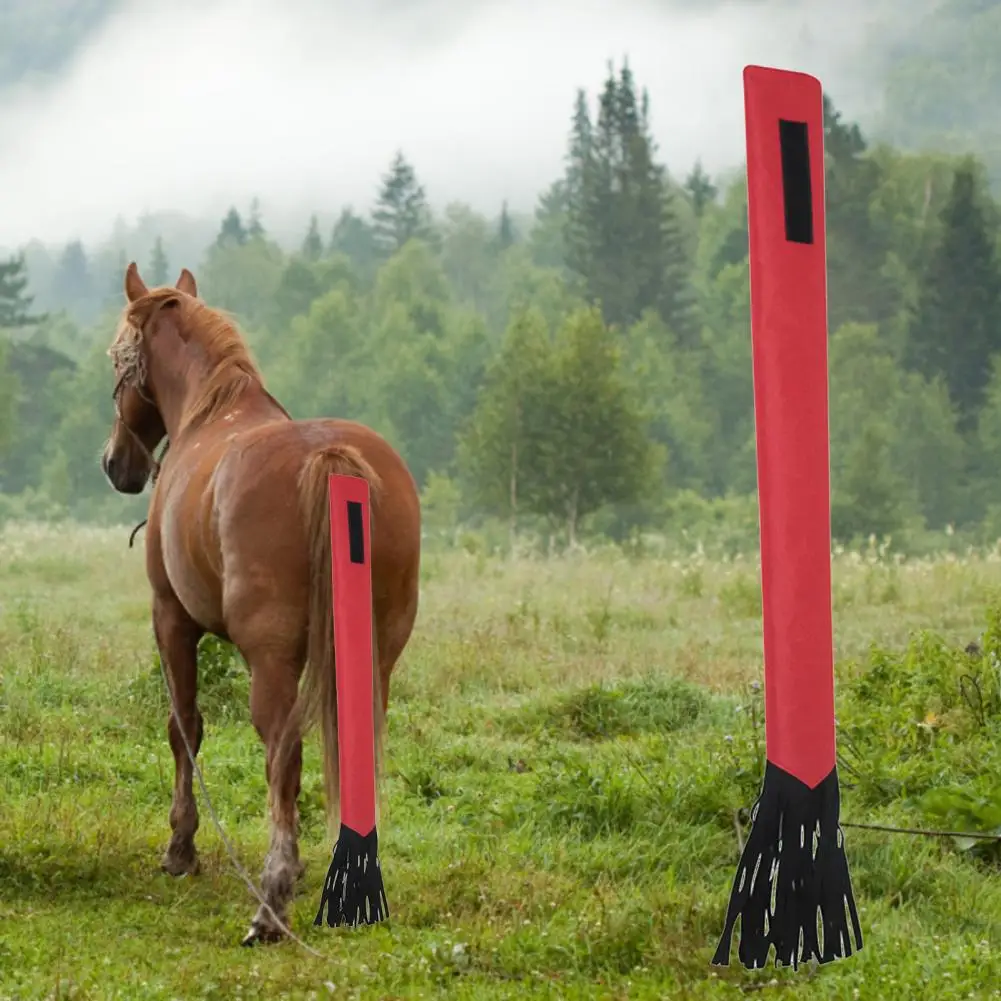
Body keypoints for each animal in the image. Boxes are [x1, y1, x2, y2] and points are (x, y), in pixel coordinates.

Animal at [104, 260, 422, 944]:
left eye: (118, 358)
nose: (117, 464)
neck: (211, 413)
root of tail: (330, 459)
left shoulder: (171, 619)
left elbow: (184, 727)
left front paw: (181, 847)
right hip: (379, 653)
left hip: (270, 661)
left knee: (283, 751)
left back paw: (272, 901)